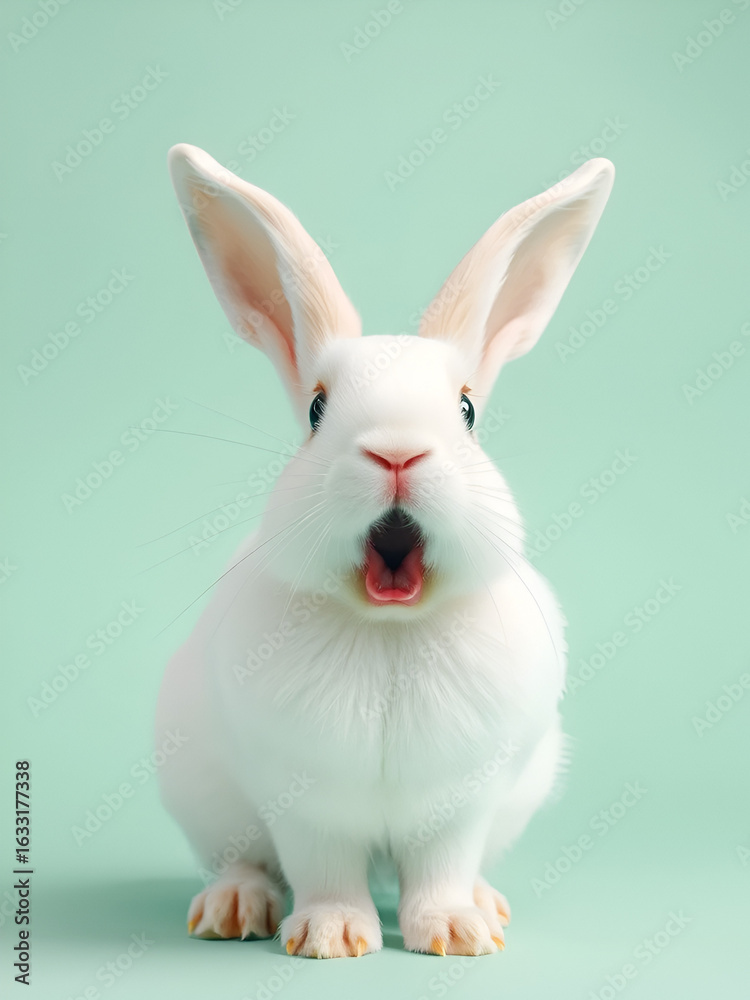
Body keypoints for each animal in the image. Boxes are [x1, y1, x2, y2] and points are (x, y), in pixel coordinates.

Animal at [156, 144, 614, 959]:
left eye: (467, 411)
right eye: (316, 409)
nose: (397, 452)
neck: (390, 631)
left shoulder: (461, 803)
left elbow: (440, 868)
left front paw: (457, 932)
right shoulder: (305, 804)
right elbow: (323, 871)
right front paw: (332, 936)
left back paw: (486, 903)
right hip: (203, 796)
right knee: (241, 859)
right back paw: (233, 910)